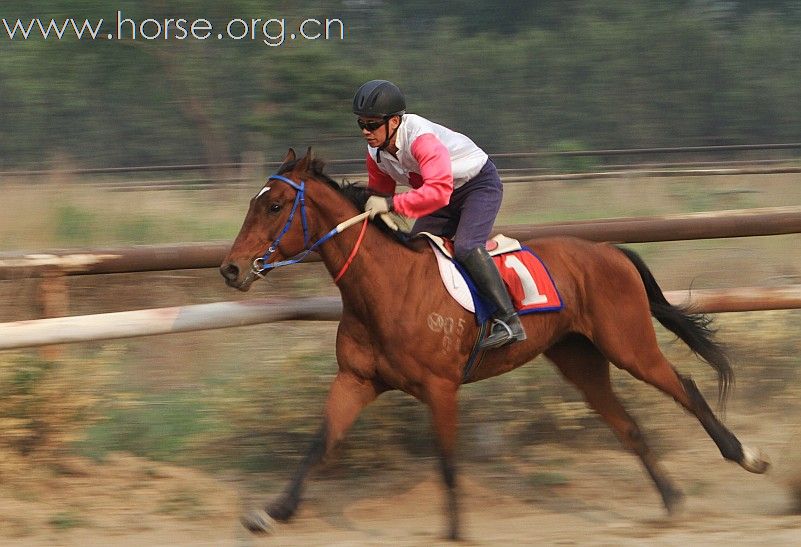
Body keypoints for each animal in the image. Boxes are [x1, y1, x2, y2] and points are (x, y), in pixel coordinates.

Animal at [219, 148, 768, 540]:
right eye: (251, 203)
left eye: (274, 205)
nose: (230, 269)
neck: (385, 287)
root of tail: (610, 250)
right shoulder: (356, 380)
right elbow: (320, 443)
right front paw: (271, 512)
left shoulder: (441, 387)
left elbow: (446, 462)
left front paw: (456, 533)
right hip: (579, 359)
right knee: (627, 426)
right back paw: (672, 500)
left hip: (628, 344)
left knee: (685, 386)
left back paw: (745, 456)